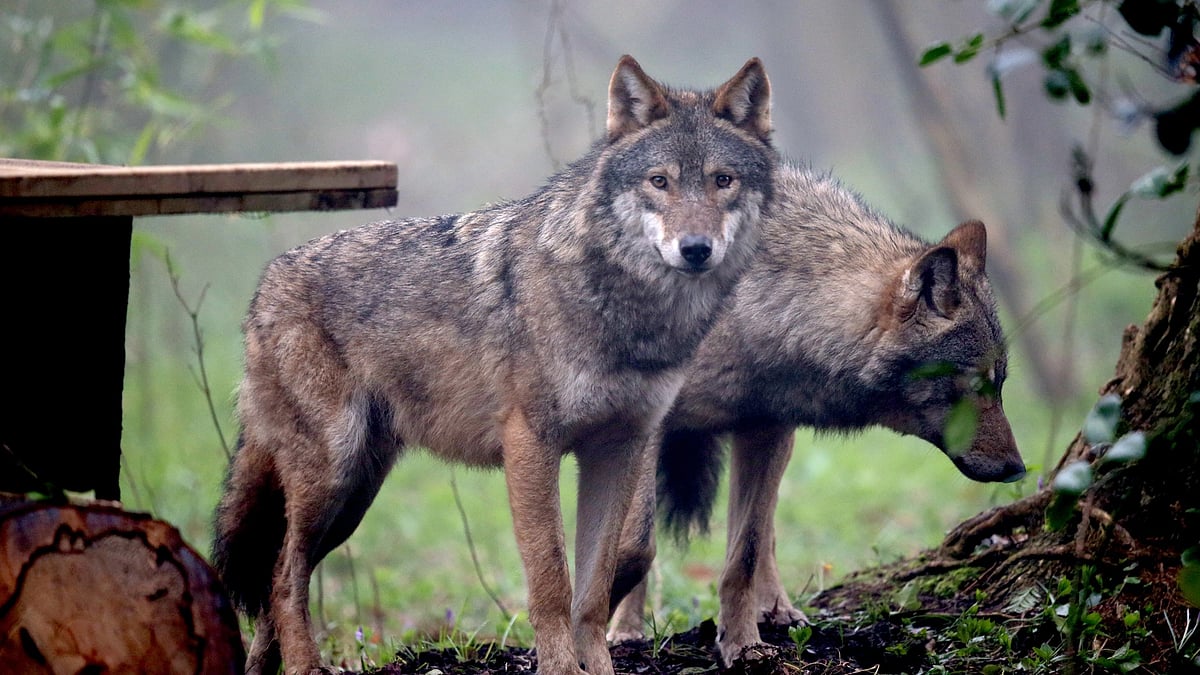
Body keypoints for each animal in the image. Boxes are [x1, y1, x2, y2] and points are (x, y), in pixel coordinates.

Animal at [213, 53, 777, 672]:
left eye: (722, 180)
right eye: (660, 182)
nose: (696, 249)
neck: (627, 314)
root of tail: (264, 286)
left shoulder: (620, 449)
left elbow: (595, 590)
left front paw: (598, 667)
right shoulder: (530, 444)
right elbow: (552, 580)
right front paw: (560, 668)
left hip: (353, 496)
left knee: (272, 581)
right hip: (332, 477)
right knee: (282, 578)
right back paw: (306, 665)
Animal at [609, 162, 1022, 662]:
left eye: (1000, 384)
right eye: (976, 384)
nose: (1018, 469)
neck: (751, 314)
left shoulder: (763, 428)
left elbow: (745, 554)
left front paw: (743, 645)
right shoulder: (643, 427)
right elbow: (633, 546)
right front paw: (608, 631)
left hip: (776, 443)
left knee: (765, 531)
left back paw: (778, 610)